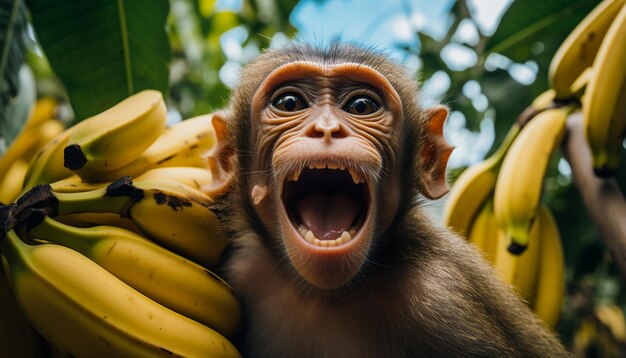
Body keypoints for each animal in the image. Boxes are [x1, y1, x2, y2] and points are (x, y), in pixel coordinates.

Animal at [206, 43, 572, 356]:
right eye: (289, 103)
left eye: (362, 107)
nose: (327, 129)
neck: (323, 295)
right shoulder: (243, 266)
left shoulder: (441, 298)